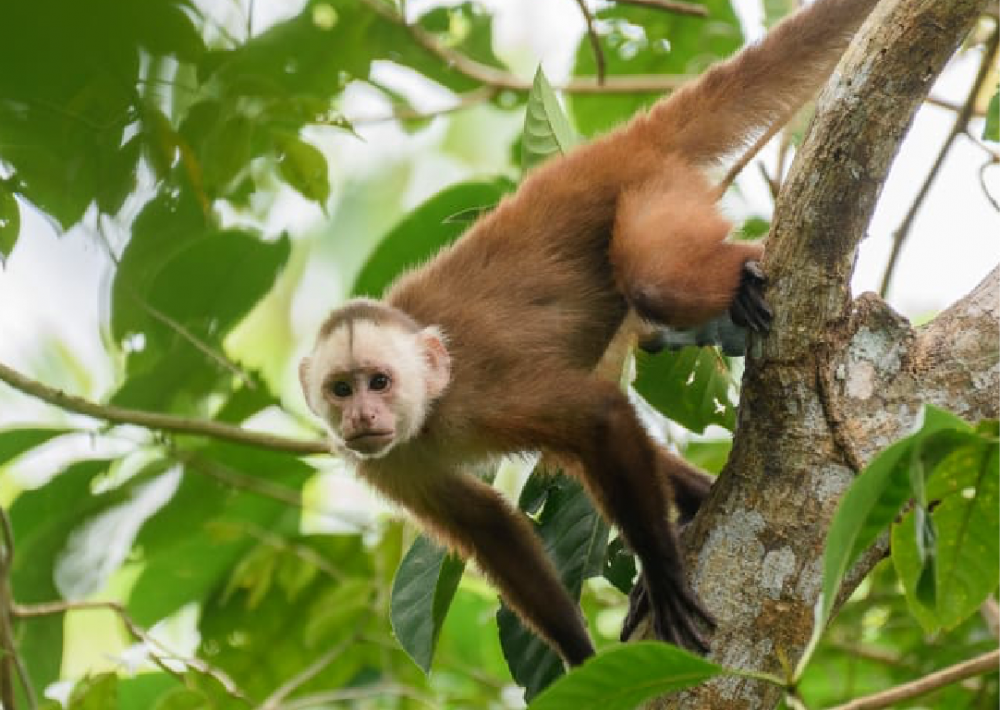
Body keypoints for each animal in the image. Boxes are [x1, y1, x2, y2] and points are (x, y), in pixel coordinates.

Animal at [300, 0, 880, 672]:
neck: (431, 408)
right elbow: (488, 527)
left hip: (660, 190)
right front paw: (578, 656)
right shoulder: (389, 464)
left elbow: (598, 417)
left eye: (379, 381)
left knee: (655, 284)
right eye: (342, 390)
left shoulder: (480, 392)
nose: (362, 415)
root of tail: (614, 145)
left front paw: (662, 574)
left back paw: (752, 274)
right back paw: (698, 500)